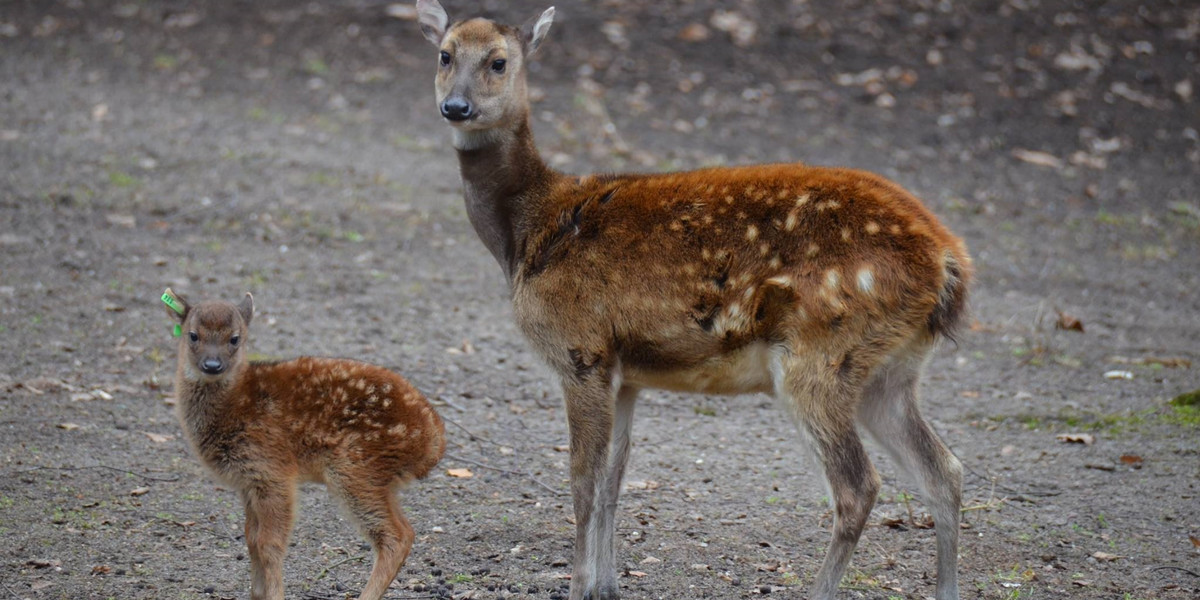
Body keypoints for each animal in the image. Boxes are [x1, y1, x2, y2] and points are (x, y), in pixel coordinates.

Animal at [417, 2, 969, 597]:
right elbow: (615, 477)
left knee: (859, 486)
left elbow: (583, 479)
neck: (526, 235)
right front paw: (607, 586)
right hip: (890, 369)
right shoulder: (626, 372)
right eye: (444, 54)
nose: (456, 107)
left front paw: (578, 586)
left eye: (498, 61)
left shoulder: (580, 350)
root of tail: (948, 261)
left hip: (823, 352)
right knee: (944, 471)